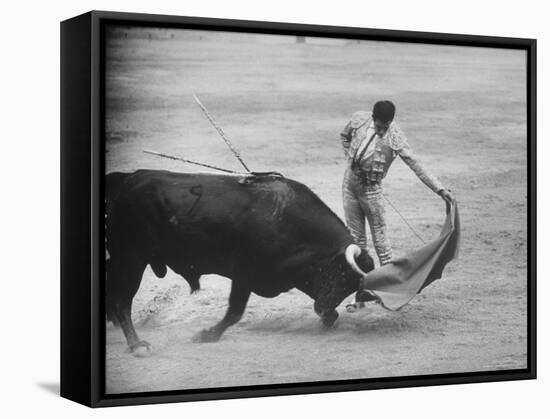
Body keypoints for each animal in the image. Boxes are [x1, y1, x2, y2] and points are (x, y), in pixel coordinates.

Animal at [106, 169, 376, 352]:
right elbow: (234, 312)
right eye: (343, 274)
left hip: (123, 259)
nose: (323, 308)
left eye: (353, 286)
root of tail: (130, 179)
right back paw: (136, 344)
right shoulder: (244, 273)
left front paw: (328, 319)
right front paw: (206, 335)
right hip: (131, 259)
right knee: (122, 301)